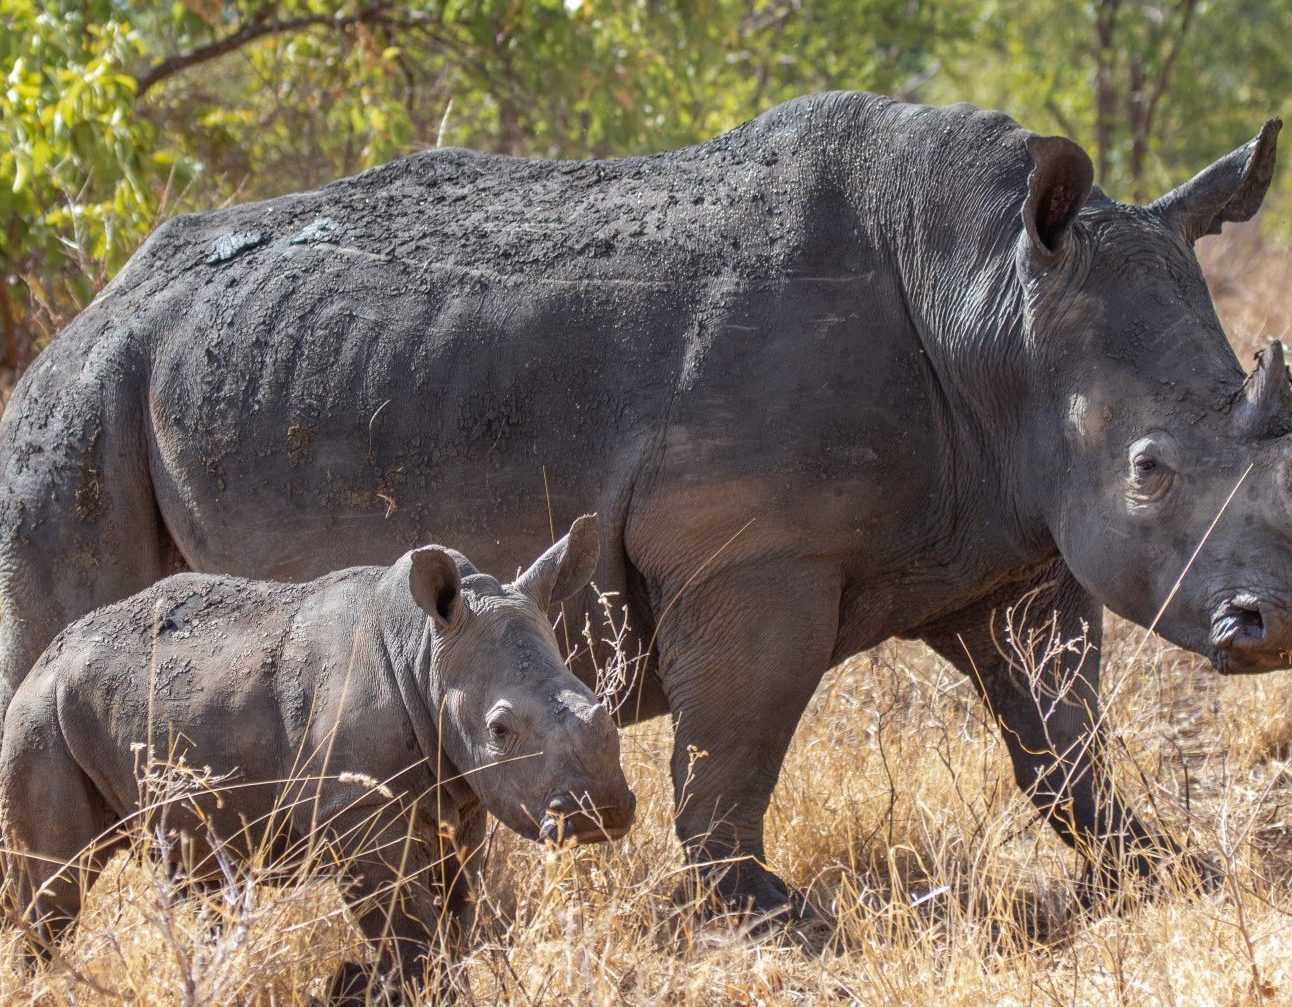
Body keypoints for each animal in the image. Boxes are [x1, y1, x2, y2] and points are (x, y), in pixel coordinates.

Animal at [0, 92, 1286, 920]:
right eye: (1148, 466)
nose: (1265, 624)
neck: (989, 301)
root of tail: (95, 305)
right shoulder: (751, 553)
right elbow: (736, 739)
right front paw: (764, 913)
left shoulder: (1010, 537)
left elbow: (1057, 731)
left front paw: (1157, 871)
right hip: (77, 407)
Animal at [0, 517, 630, 1003]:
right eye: (500, 730)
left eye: (598, 703)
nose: (602, 811)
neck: (427, 653)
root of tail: (44, 659)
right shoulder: (355, 814)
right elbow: (411, 932)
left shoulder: (462, 800)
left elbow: (457, 917)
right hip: (39, 718)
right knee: (54, 891)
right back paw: (35, 978)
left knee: (194, 875)